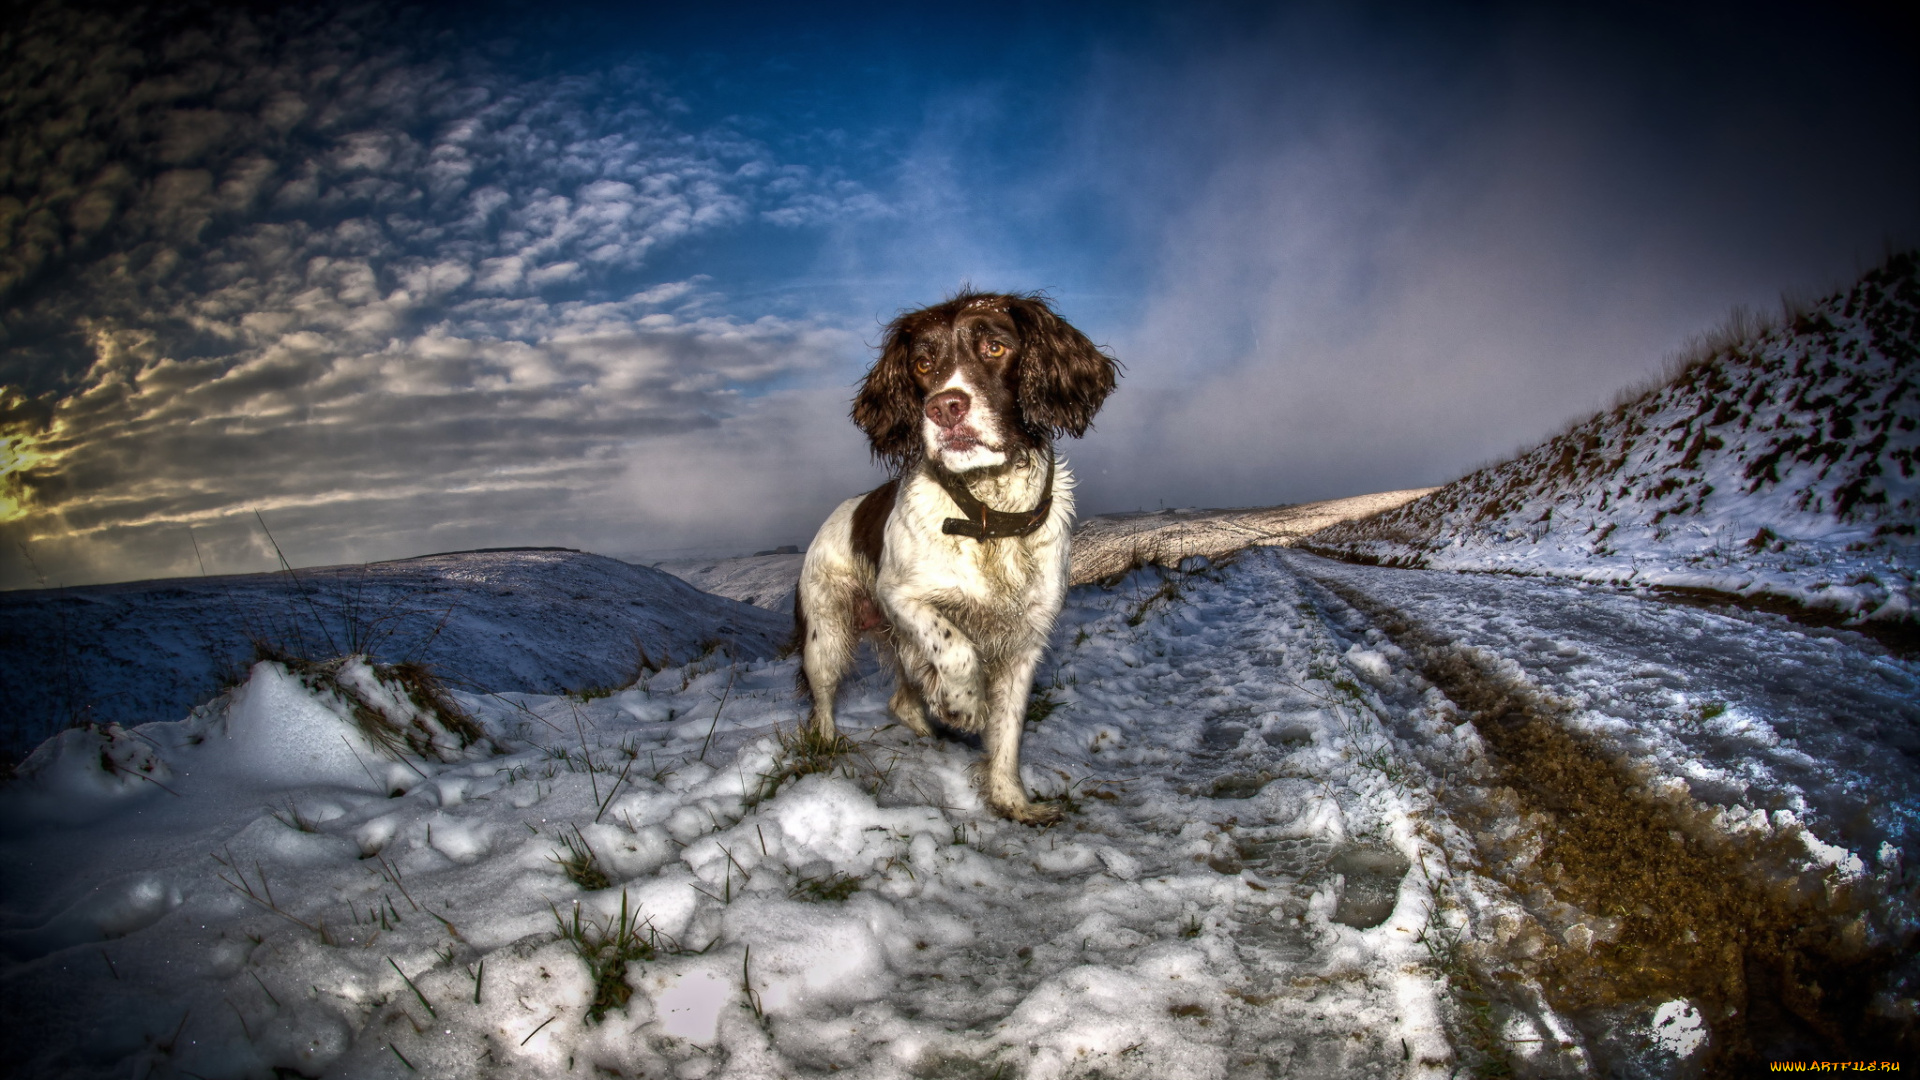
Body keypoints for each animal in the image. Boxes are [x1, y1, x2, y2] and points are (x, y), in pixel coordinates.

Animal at [794, 290, 1121, 818]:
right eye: (922, 363)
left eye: (995, 347)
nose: (945, 407)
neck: (989, 517)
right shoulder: (901, 596)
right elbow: (956, 647)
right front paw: (965, 705)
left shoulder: (1026, 638)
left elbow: (1008, 733)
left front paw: (1012, 802)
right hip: (826, 634)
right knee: (823, 697)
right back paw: (828, 744)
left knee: (903, 699)